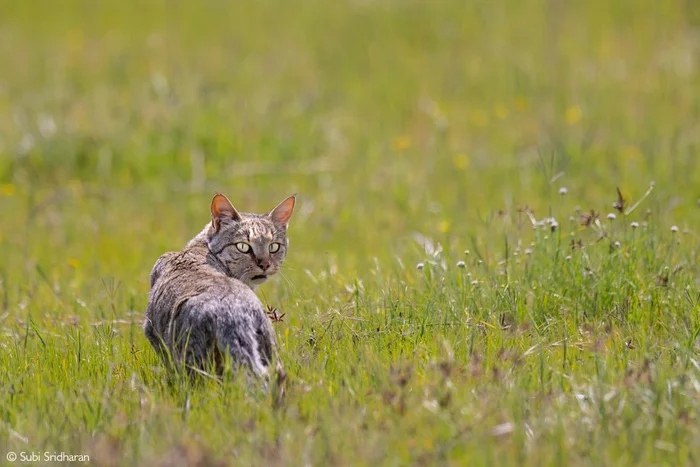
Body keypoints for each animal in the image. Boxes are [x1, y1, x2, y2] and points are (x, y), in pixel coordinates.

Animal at [144, 194, 294, 380]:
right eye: (243, 246)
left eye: (273, 246)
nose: (265, 264)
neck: (199, 247)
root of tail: (233, 313)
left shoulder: (151, 330)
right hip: (268, 349)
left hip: (193, 361)